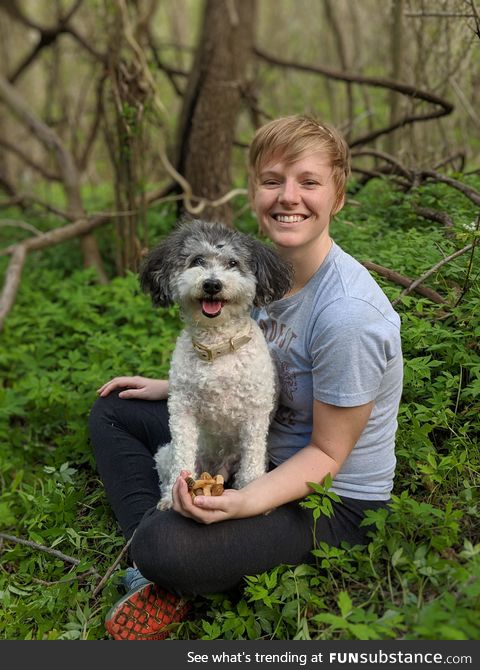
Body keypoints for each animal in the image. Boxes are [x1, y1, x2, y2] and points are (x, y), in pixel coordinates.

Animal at [140, 220, 292, 510]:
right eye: (197, 260)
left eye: (233, 263)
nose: (212, 284)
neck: (217, 348)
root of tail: (218, 467)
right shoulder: (182, 409)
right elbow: (182, 454)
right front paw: (175, 496)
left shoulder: (255, 413)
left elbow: (252, 461)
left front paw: (252, 493)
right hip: (166, 453)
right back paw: (166, 497)